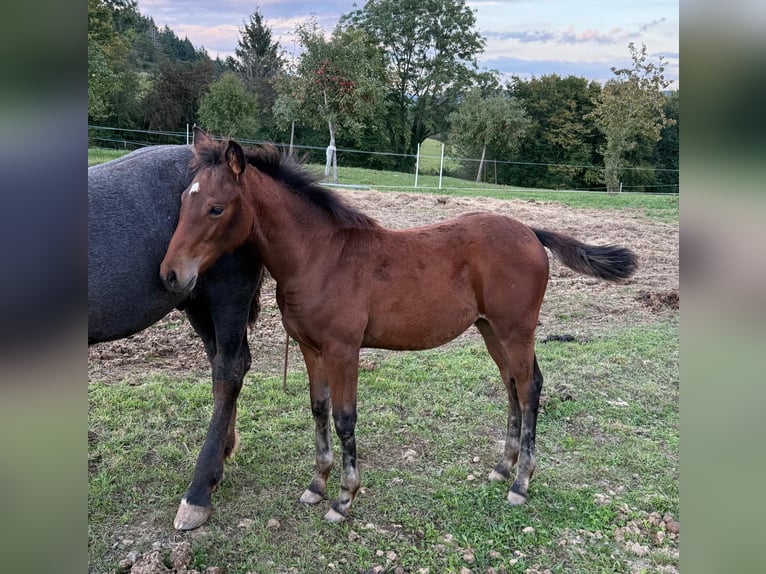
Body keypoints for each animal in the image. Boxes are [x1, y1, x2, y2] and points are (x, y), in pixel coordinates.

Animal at [160, 128, 638, 522]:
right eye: (182, 201)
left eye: (216, 208)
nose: (171, 275)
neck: (320, 257)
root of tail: (531, 232)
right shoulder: (312, 349)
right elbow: (318, 410)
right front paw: (316, 485)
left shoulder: (343, 349)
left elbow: (345, 418)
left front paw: (345, 499)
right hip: (490, 330)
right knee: (513, 387)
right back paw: (503, 468)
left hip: (516, 329)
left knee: (530, 387)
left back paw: (521, 482)